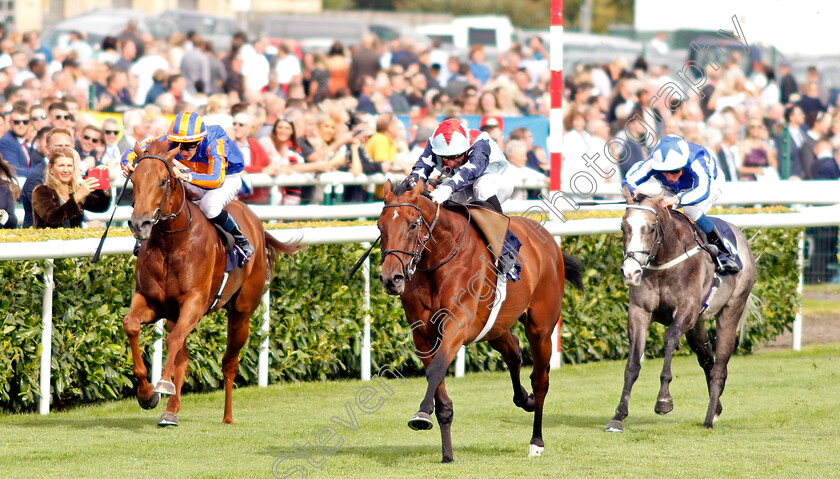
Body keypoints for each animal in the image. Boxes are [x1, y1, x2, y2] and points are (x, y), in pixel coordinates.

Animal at [123, 140, 296, 428]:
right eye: (134, 179)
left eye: (163, 181)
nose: (140, 224)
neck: (171, 242)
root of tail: (256, 223)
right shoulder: (152, 302)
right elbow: (132, 325)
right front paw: (147, 394)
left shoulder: (194, 302)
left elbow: (173, 341)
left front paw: (162, 384)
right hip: (175, 314)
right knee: (183, 356)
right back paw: (170, 411)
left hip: (241, 313)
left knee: (229, 362)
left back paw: (227, 416)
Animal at [378, 180, 580, 462]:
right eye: (380, 226)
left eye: (412, 224)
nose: (391, 278)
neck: (438, 258)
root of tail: (548, 240)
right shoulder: (424, 336)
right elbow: (440, 391)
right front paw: (447, 453)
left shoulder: (457, 326)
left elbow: (436, 369)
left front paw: (422, 413)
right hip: (495, 327)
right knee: (514, 352)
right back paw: (524, 399)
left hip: (540, 327)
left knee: (540, 380)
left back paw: (536, 440)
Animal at [608, 188, 756, 436]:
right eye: (623, 226)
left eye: (651, 228)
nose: (631, 273)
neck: (663, 260)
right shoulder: (639, 313)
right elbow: (632, 365)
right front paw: (618, 415)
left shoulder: (686, 310)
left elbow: (669, 338)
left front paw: (663, 401)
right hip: (697, 325)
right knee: (707, 360)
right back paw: (716, 407)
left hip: (731, 309)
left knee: (719, 366)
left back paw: (708, 418)